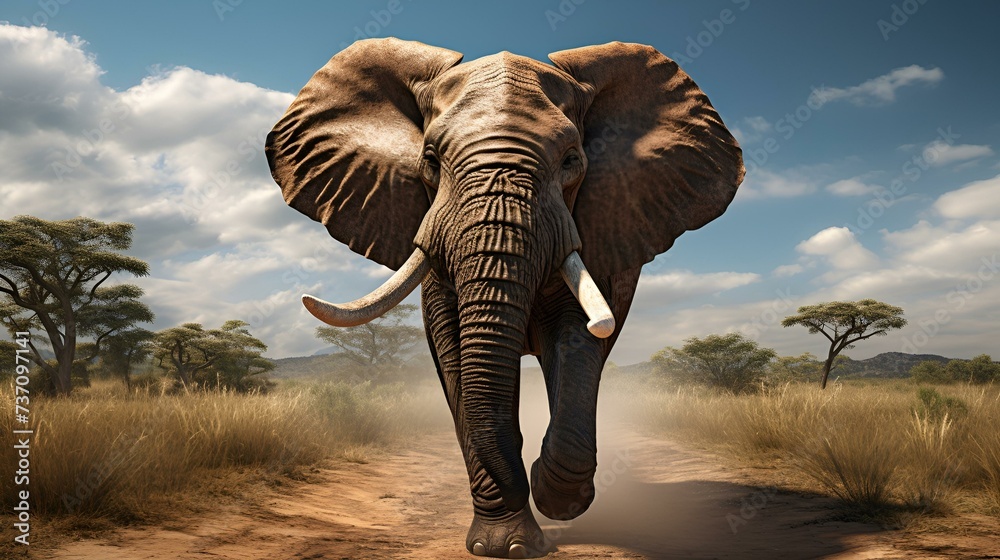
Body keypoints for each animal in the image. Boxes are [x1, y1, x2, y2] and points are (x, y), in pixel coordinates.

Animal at [265, 38, 743, 558]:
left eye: (571, 160)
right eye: (430, 160)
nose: (525, 480)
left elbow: (576, 342)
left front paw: (554, 498)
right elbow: (454, 352)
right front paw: (503, 545)